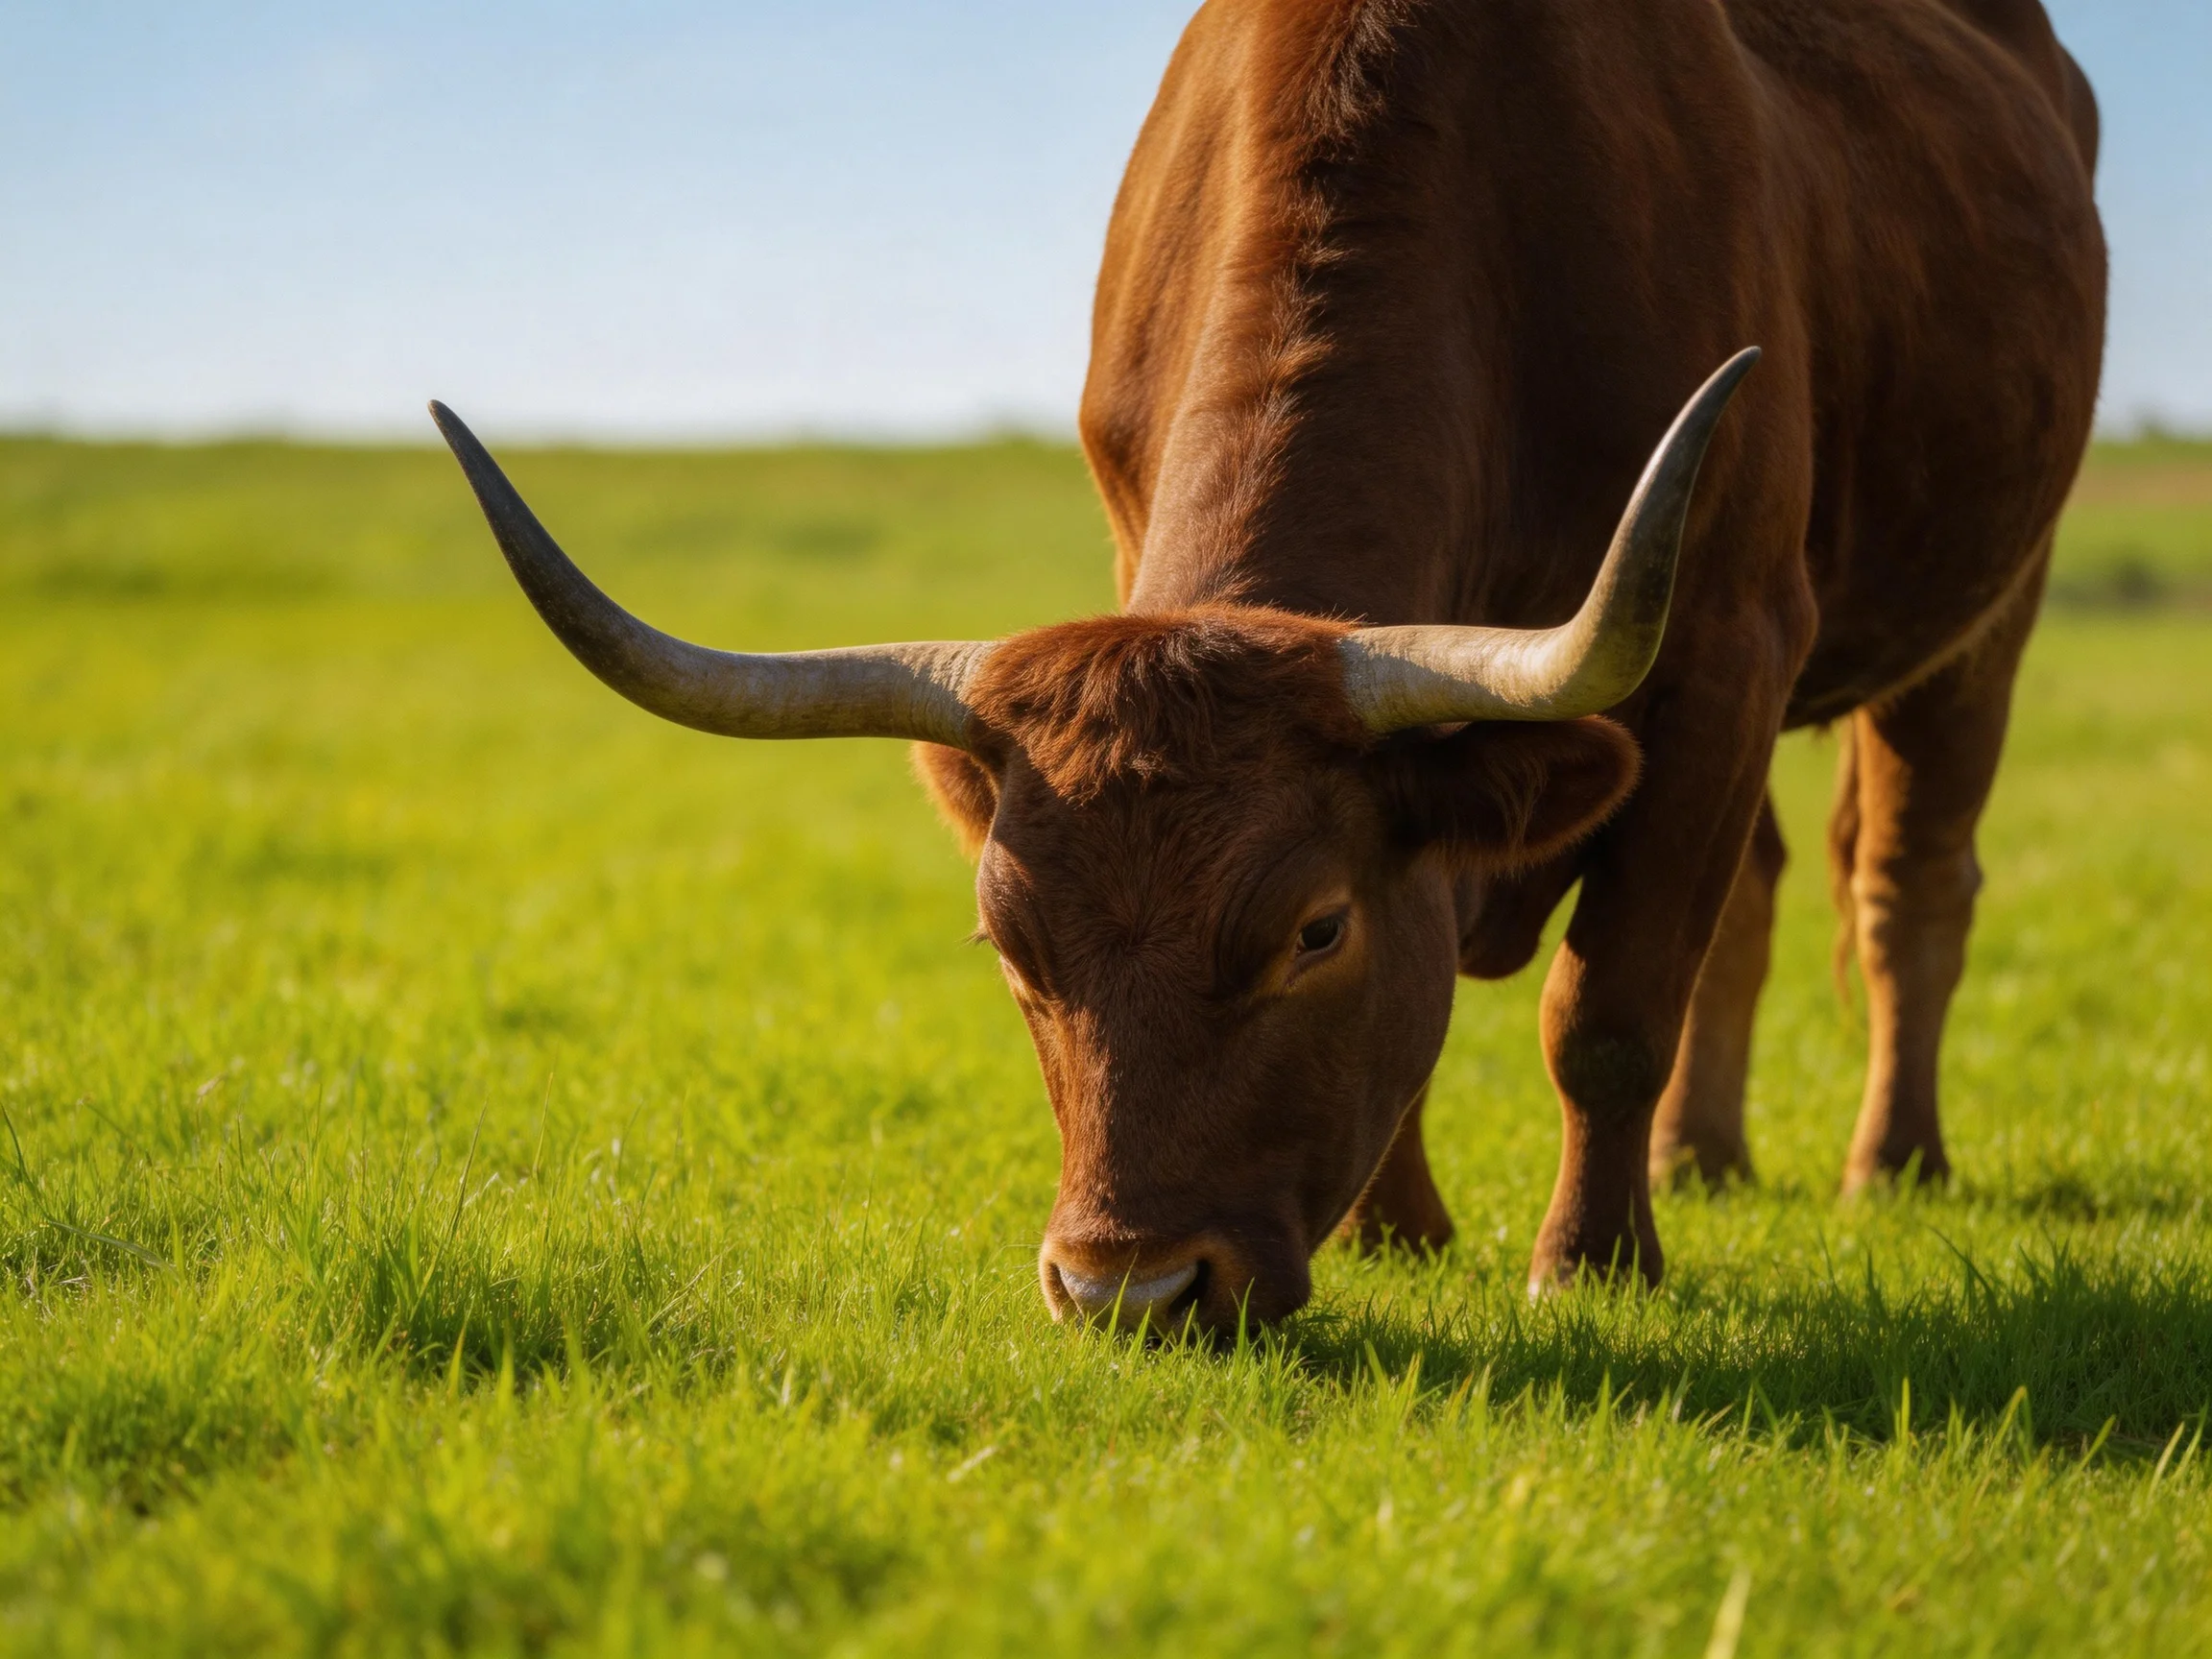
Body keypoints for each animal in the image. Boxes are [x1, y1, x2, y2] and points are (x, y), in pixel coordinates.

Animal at [432, 0, 2104, 1335]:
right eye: (1005, 944)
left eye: (1312, 931)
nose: (1129, 1289)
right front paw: (1397, 1234)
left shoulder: (1723, 646)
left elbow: (1610, 1005)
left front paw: (1589, 1265)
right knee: (1754, 894)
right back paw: (1708, 1160)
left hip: (1987, 613)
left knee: (1906, 882)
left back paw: (1890, 1165)